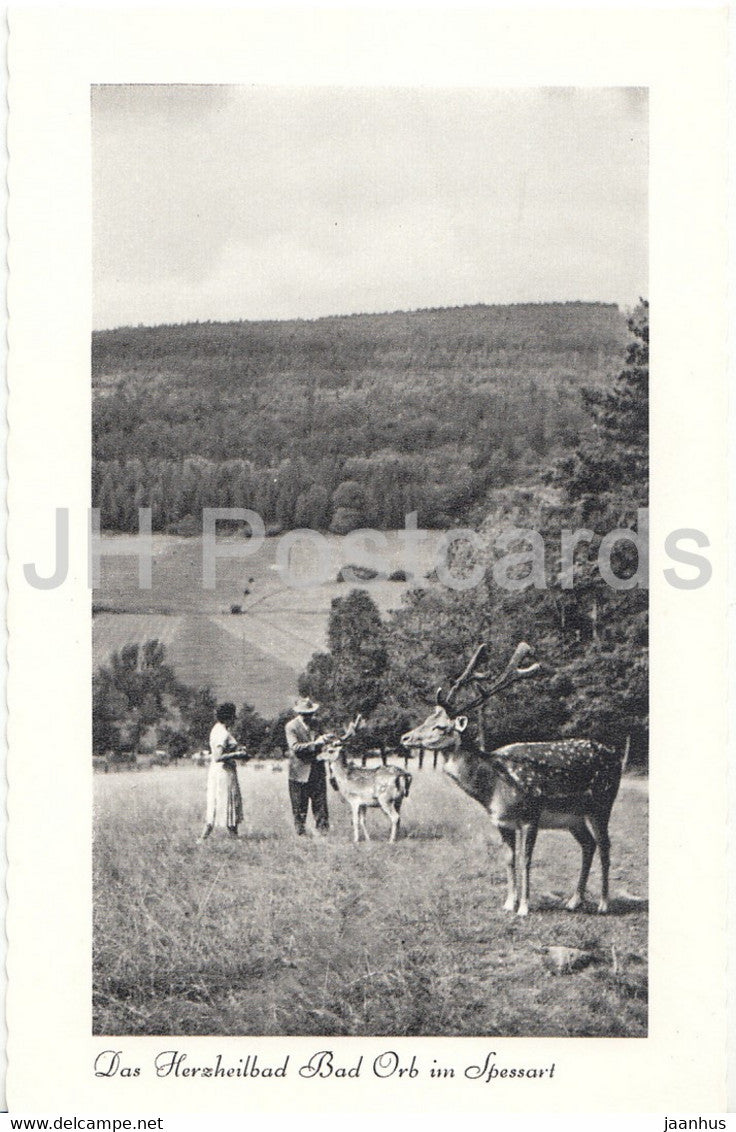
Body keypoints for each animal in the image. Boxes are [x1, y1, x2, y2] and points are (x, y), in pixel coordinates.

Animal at [400, 642, 625, 914]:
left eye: (440, 727)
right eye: (426, 719)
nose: (405, 738)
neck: (495, 788)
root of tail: (616, 754)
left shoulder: (531, 816)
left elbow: (525, 860)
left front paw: (524, 908)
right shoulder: (501, 821)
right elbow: (509, 860)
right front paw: (508, 904)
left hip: (602, 802)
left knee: (605, 845)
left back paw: (603, 903)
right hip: (573, 817)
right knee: (588, 844)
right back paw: (573, 900)